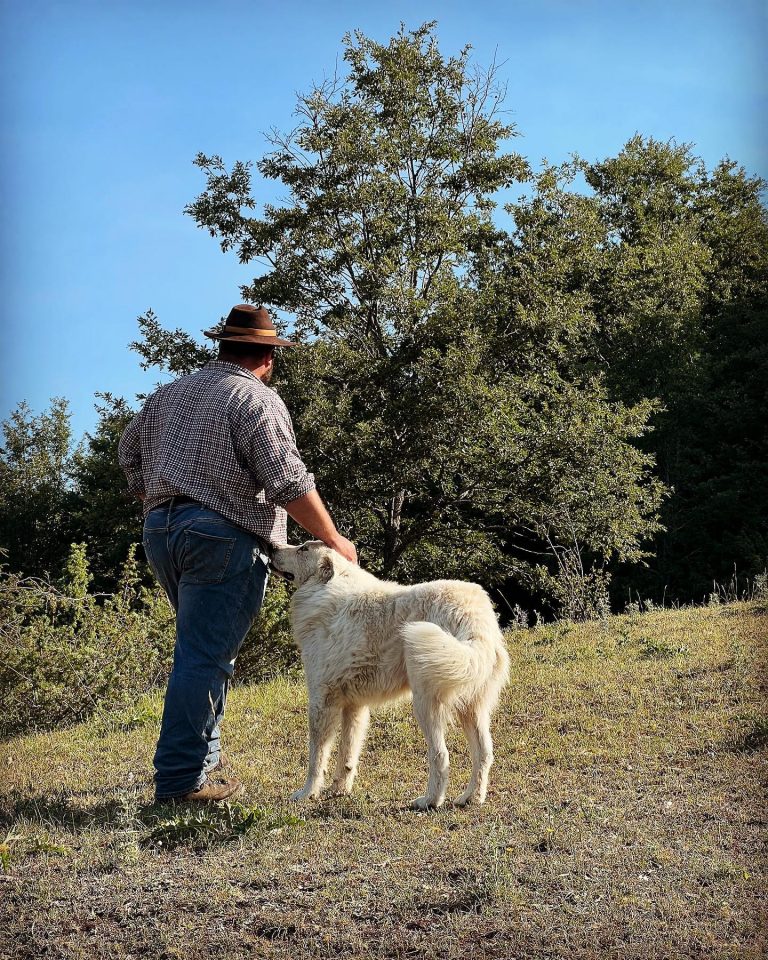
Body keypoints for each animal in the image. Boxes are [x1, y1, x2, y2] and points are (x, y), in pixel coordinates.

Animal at [270, 544, 510, 808]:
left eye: (303, 549)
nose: (272, 548)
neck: (323, 590)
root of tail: (471, 615)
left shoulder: (321, 701)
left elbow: (316, 756)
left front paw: (307, 793)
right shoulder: (353, 706)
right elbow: (347, 752)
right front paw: (339, 790)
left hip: (425, 705)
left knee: (440, 755)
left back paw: (429, 801)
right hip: (471, 707)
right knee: (484, 752)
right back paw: (471, 797)